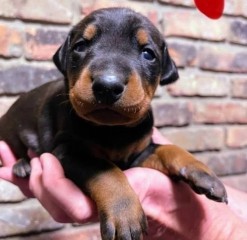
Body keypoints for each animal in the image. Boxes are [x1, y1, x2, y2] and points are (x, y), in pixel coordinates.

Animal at [0, 7, 227, 240]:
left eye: (148, 53)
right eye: (80, 46)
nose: (107, 86)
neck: (113, 130)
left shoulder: (138, 153)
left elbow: (167, 149)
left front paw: (202, 172)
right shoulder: (68, 150)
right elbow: (106, 170)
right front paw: (124, 215)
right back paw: (22, 165)